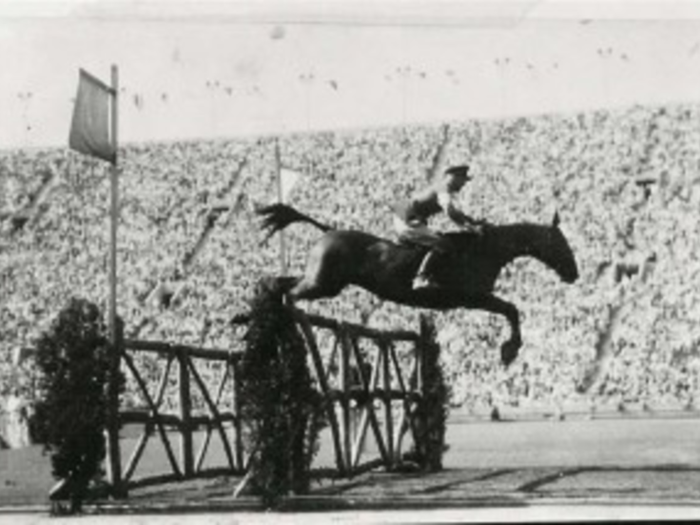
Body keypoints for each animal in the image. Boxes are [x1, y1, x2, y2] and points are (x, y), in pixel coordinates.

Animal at [258, 203, 580, 366]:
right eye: (562, 244)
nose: (574, 274)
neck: (486, 248)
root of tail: (329, 231)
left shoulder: (475, 299)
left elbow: (511, 310)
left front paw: (510, 349)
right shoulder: (473, 297)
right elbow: (511, 309)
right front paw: (510, 350)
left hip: (326, 282)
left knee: (281, 282)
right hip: (322, 283)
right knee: (292, 293)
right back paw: (289, 320)